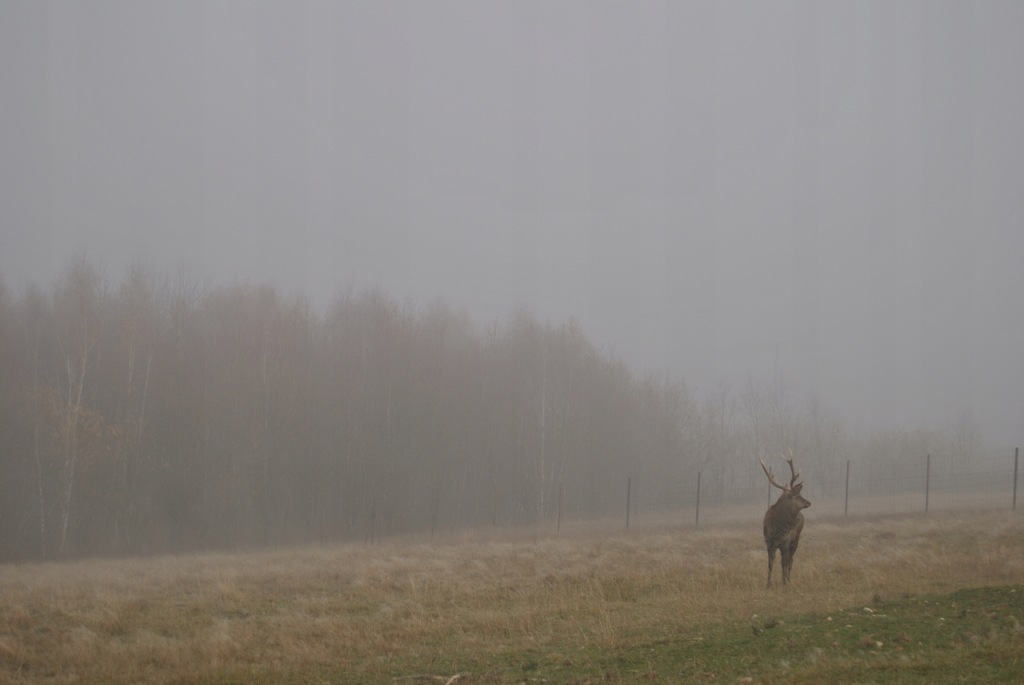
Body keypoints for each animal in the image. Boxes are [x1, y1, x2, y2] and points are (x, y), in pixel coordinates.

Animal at [757, 448, 811, 589]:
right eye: (798, 495)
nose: (809, 502)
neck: (777, 529)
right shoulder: (768, 542)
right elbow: (770, 564)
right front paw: (768, 583)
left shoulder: (785, 542)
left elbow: (784, 563)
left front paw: (784, 582)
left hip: (796, 539)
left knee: (791, 561)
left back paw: (788, 579)